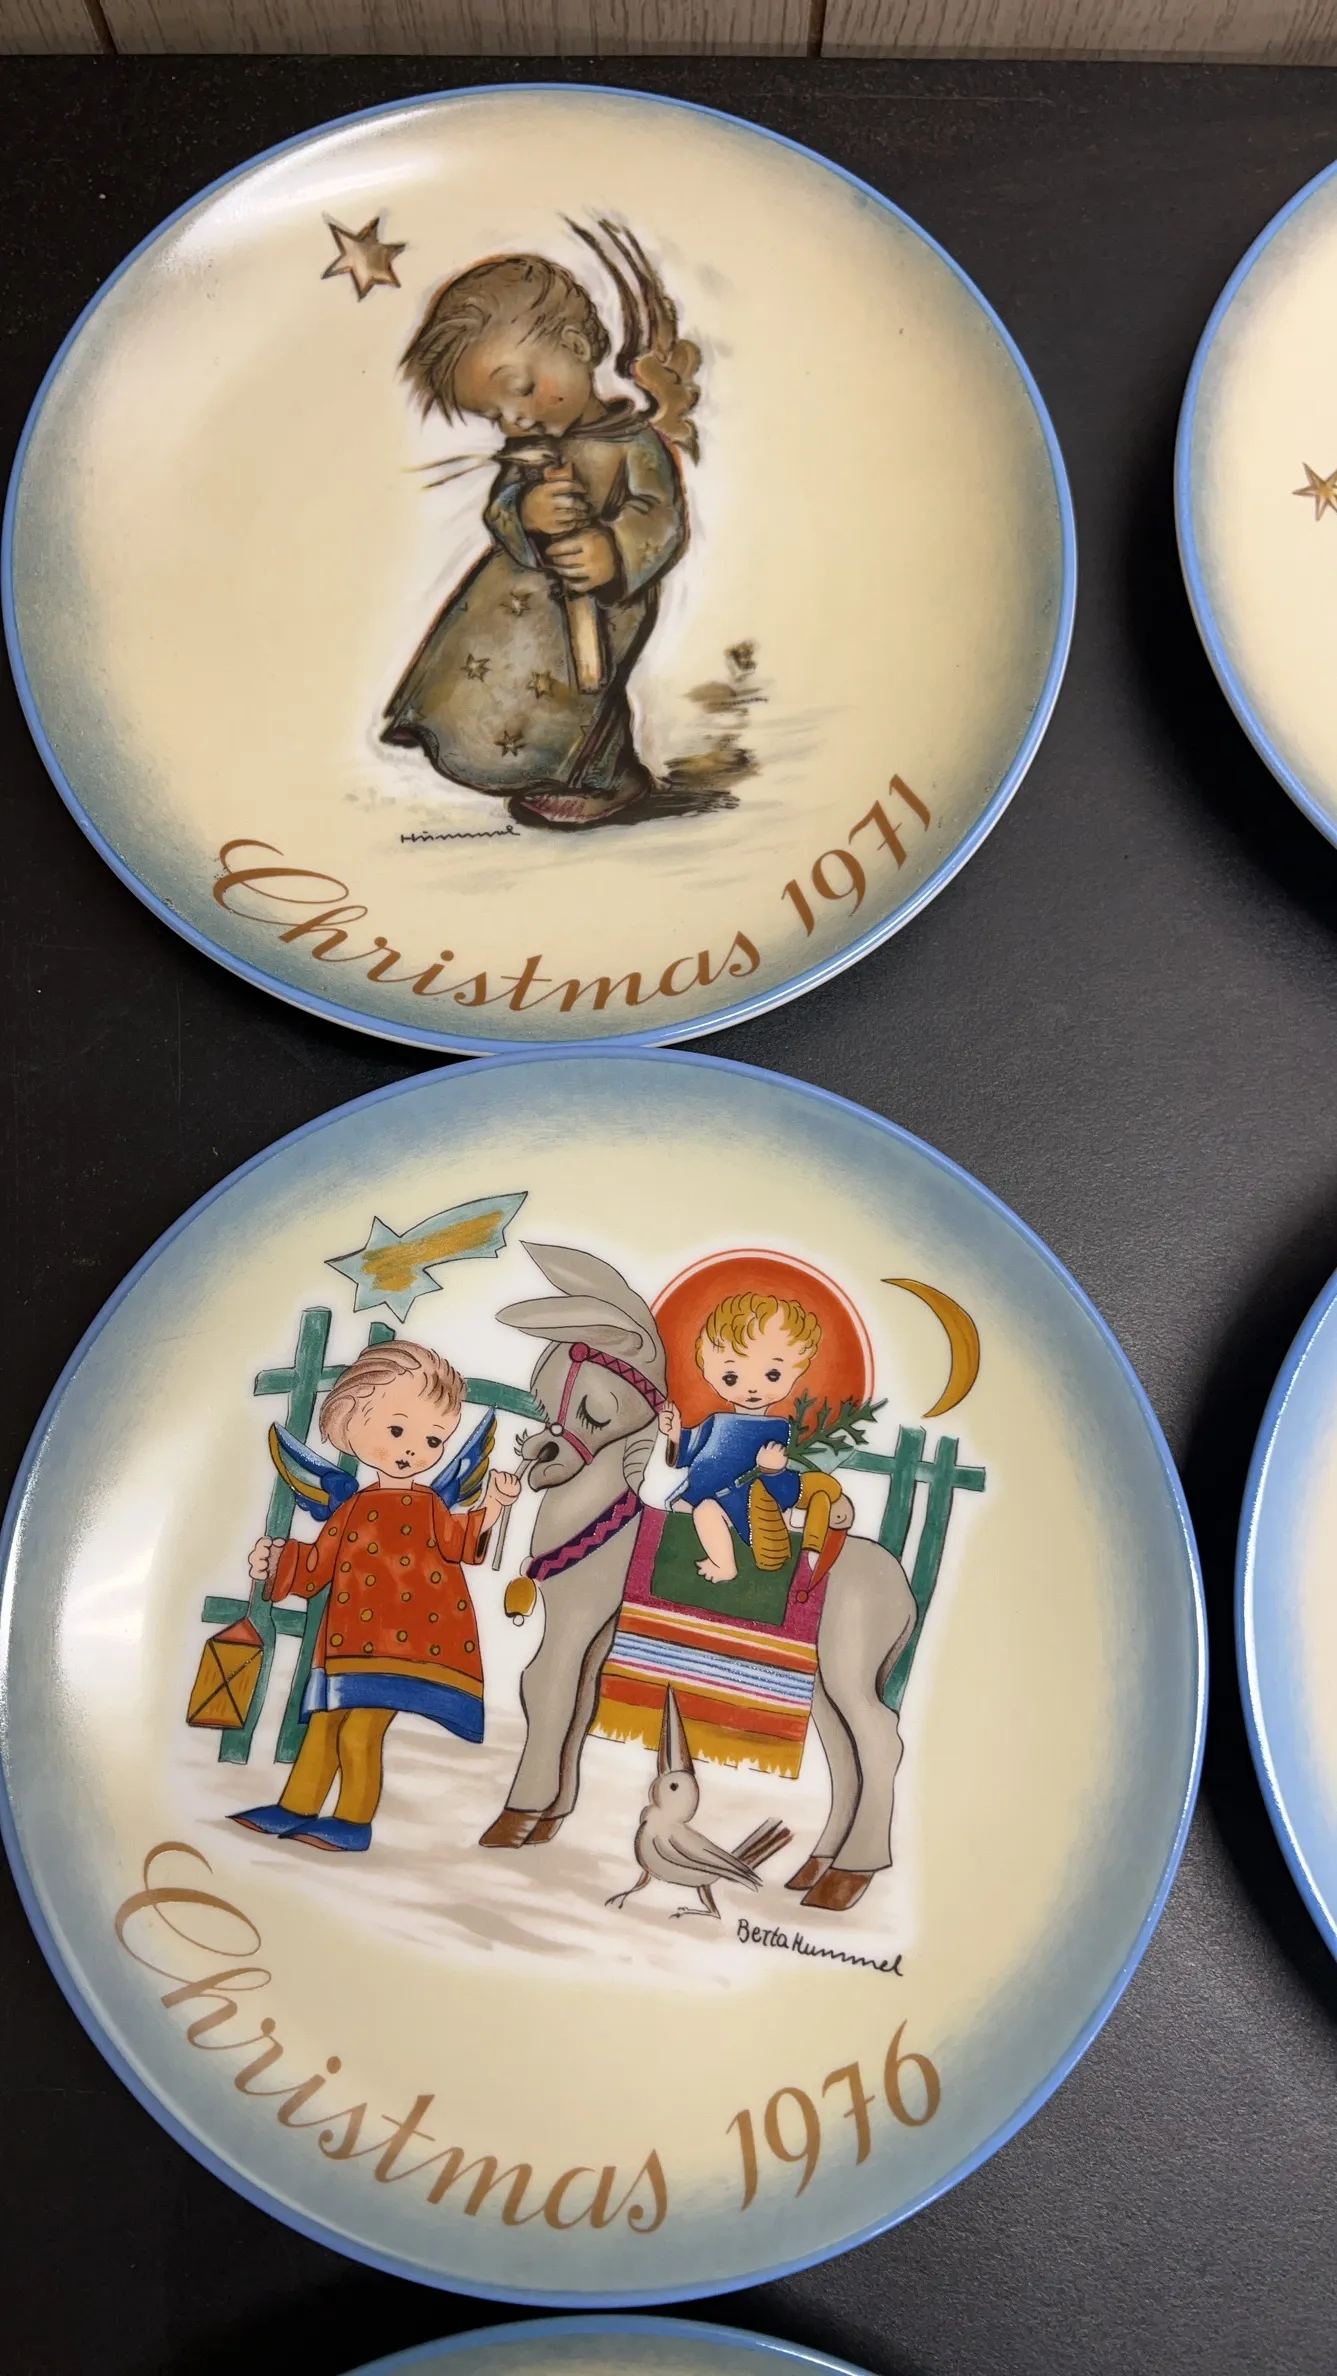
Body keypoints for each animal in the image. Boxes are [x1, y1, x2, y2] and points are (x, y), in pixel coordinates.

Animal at [478, 1242, 918, 1912]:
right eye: (543, 1395)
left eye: (598, 1409)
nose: (543, 1458)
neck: (605, 1528)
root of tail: (902, 1584)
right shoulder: (600, 1631)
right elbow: (580, 1705)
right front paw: (549, 1820)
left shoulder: (576, 1618)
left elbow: (544, 1690)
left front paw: (513, 1821)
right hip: (828, 1680)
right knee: (848, 1757)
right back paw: (816, 1873)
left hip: (848, 1665)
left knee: (881, 1743)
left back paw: (849, 1880)